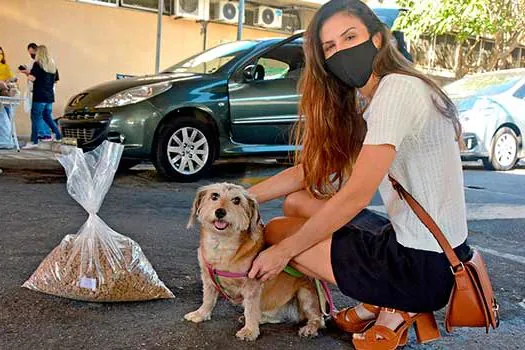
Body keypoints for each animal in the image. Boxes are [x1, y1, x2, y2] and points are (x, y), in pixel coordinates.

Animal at [184, 183, 324, 342]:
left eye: (236, 200)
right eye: (214, 196)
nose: (220, 212)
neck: (222, 244)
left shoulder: (253, 284)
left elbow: (251, 309)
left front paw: (250, 331)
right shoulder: (207, 278)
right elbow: (207, 299)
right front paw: (201, 313)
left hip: (305, 294)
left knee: (317, 318)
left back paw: (309, 328)